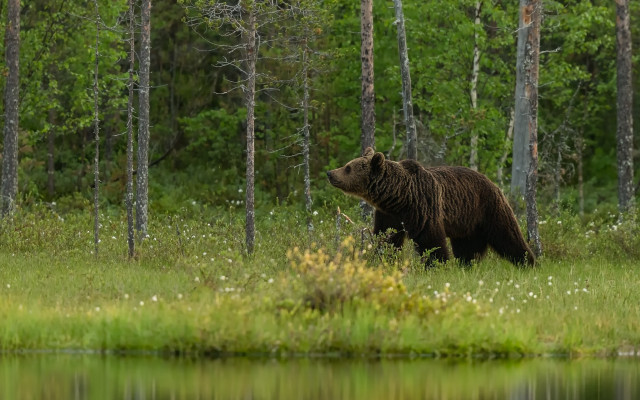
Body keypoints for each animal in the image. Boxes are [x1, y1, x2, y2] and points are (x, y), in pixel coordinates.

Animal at [327, 147, 535, 267]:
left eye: (348, 167)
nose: (330, 173)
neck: (399, 196)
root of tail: (493, 183)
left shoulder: (422, 207)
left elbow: (430, 240)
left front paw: (437, 264)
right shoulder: (389, 214)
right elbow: (387, 237)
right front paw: (383, 259)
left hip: (488, 207)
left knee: (507, 235)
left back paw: (528, 262)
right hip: (466, 222)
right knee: (467, 247)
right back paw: (466, 264)